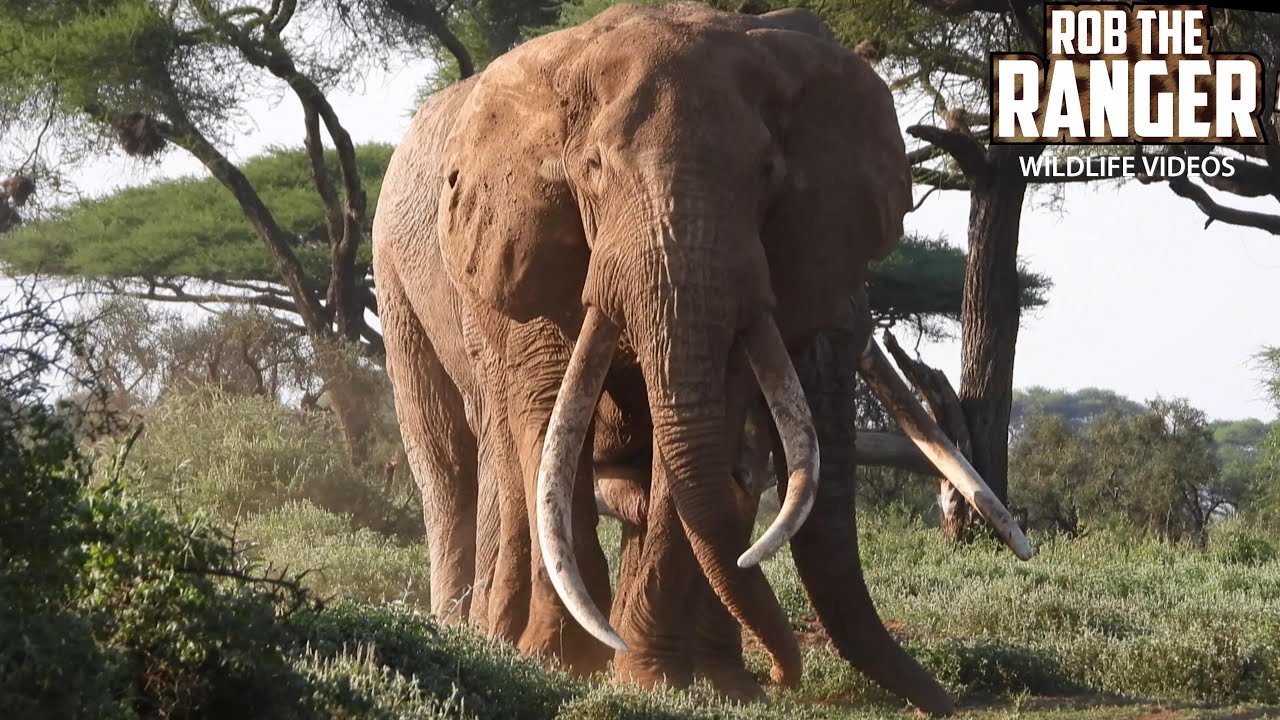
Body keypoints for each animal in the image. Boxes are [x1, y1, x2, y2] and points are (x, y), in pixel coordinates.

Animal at [371, 2, 1033, 715]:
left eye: (767, 173)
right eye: (592, 169)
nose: (783, 674)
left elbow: (703, 445)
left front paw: (672, 682)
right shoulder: (519, 243)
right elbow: (550, 423)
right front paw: (565, 667)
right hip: (397, 282)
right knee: (454, 466)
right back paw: (477, 635)